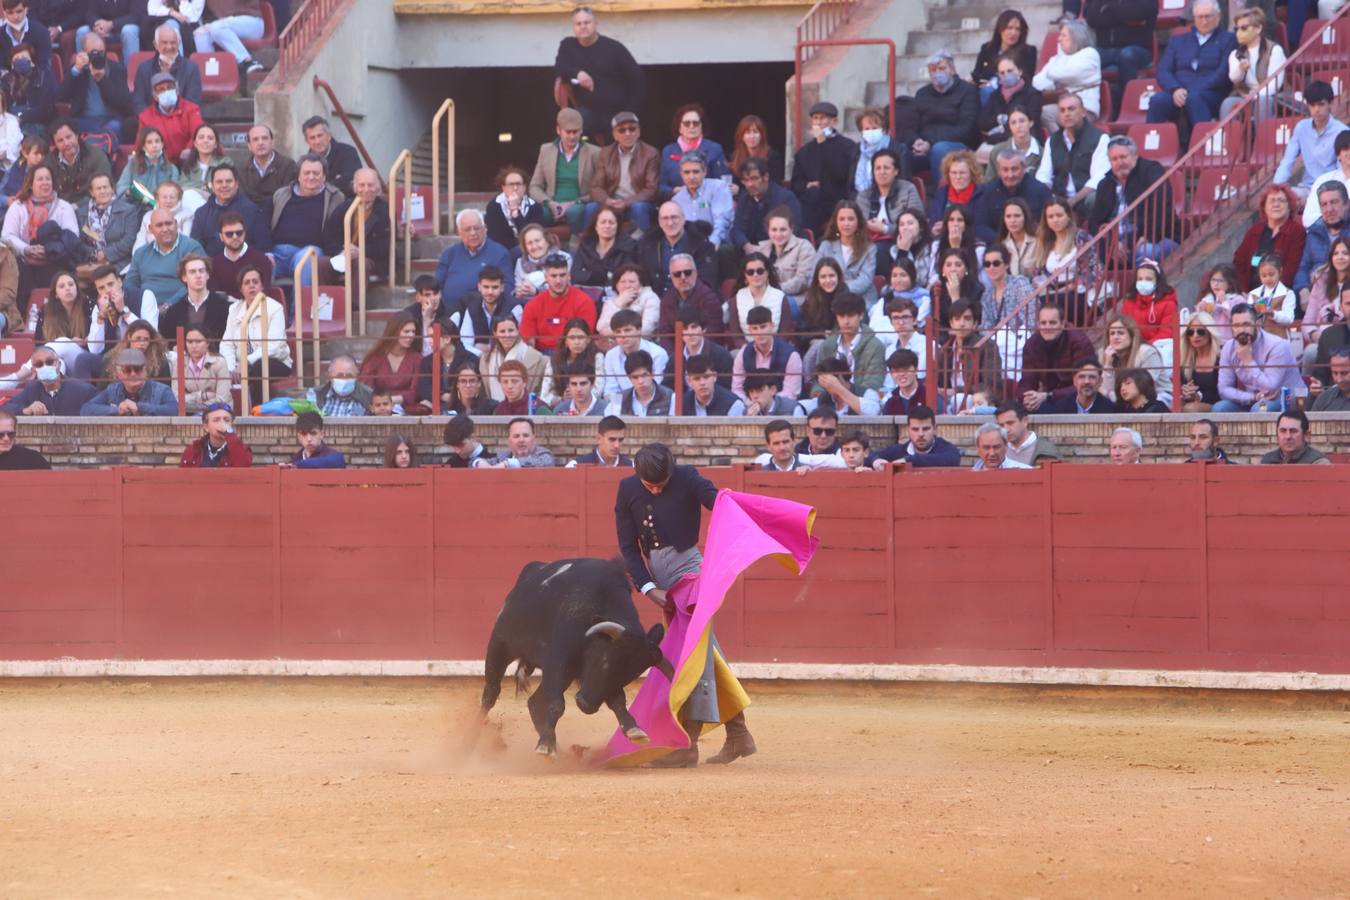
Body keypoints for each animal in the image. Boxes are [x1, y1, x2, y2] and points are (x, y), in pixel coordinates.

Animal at [483, 558, 675, 755]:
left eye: (630, 677)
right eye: (605, 661)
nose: (585, 705)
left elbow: (618, 701)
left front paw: (633, 729)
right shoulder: (557, 661)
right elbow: (556, 704)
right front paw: (545, 745)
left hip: (565, 674)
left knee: (534, 702)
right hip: (499, 646)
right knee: (490, 695)